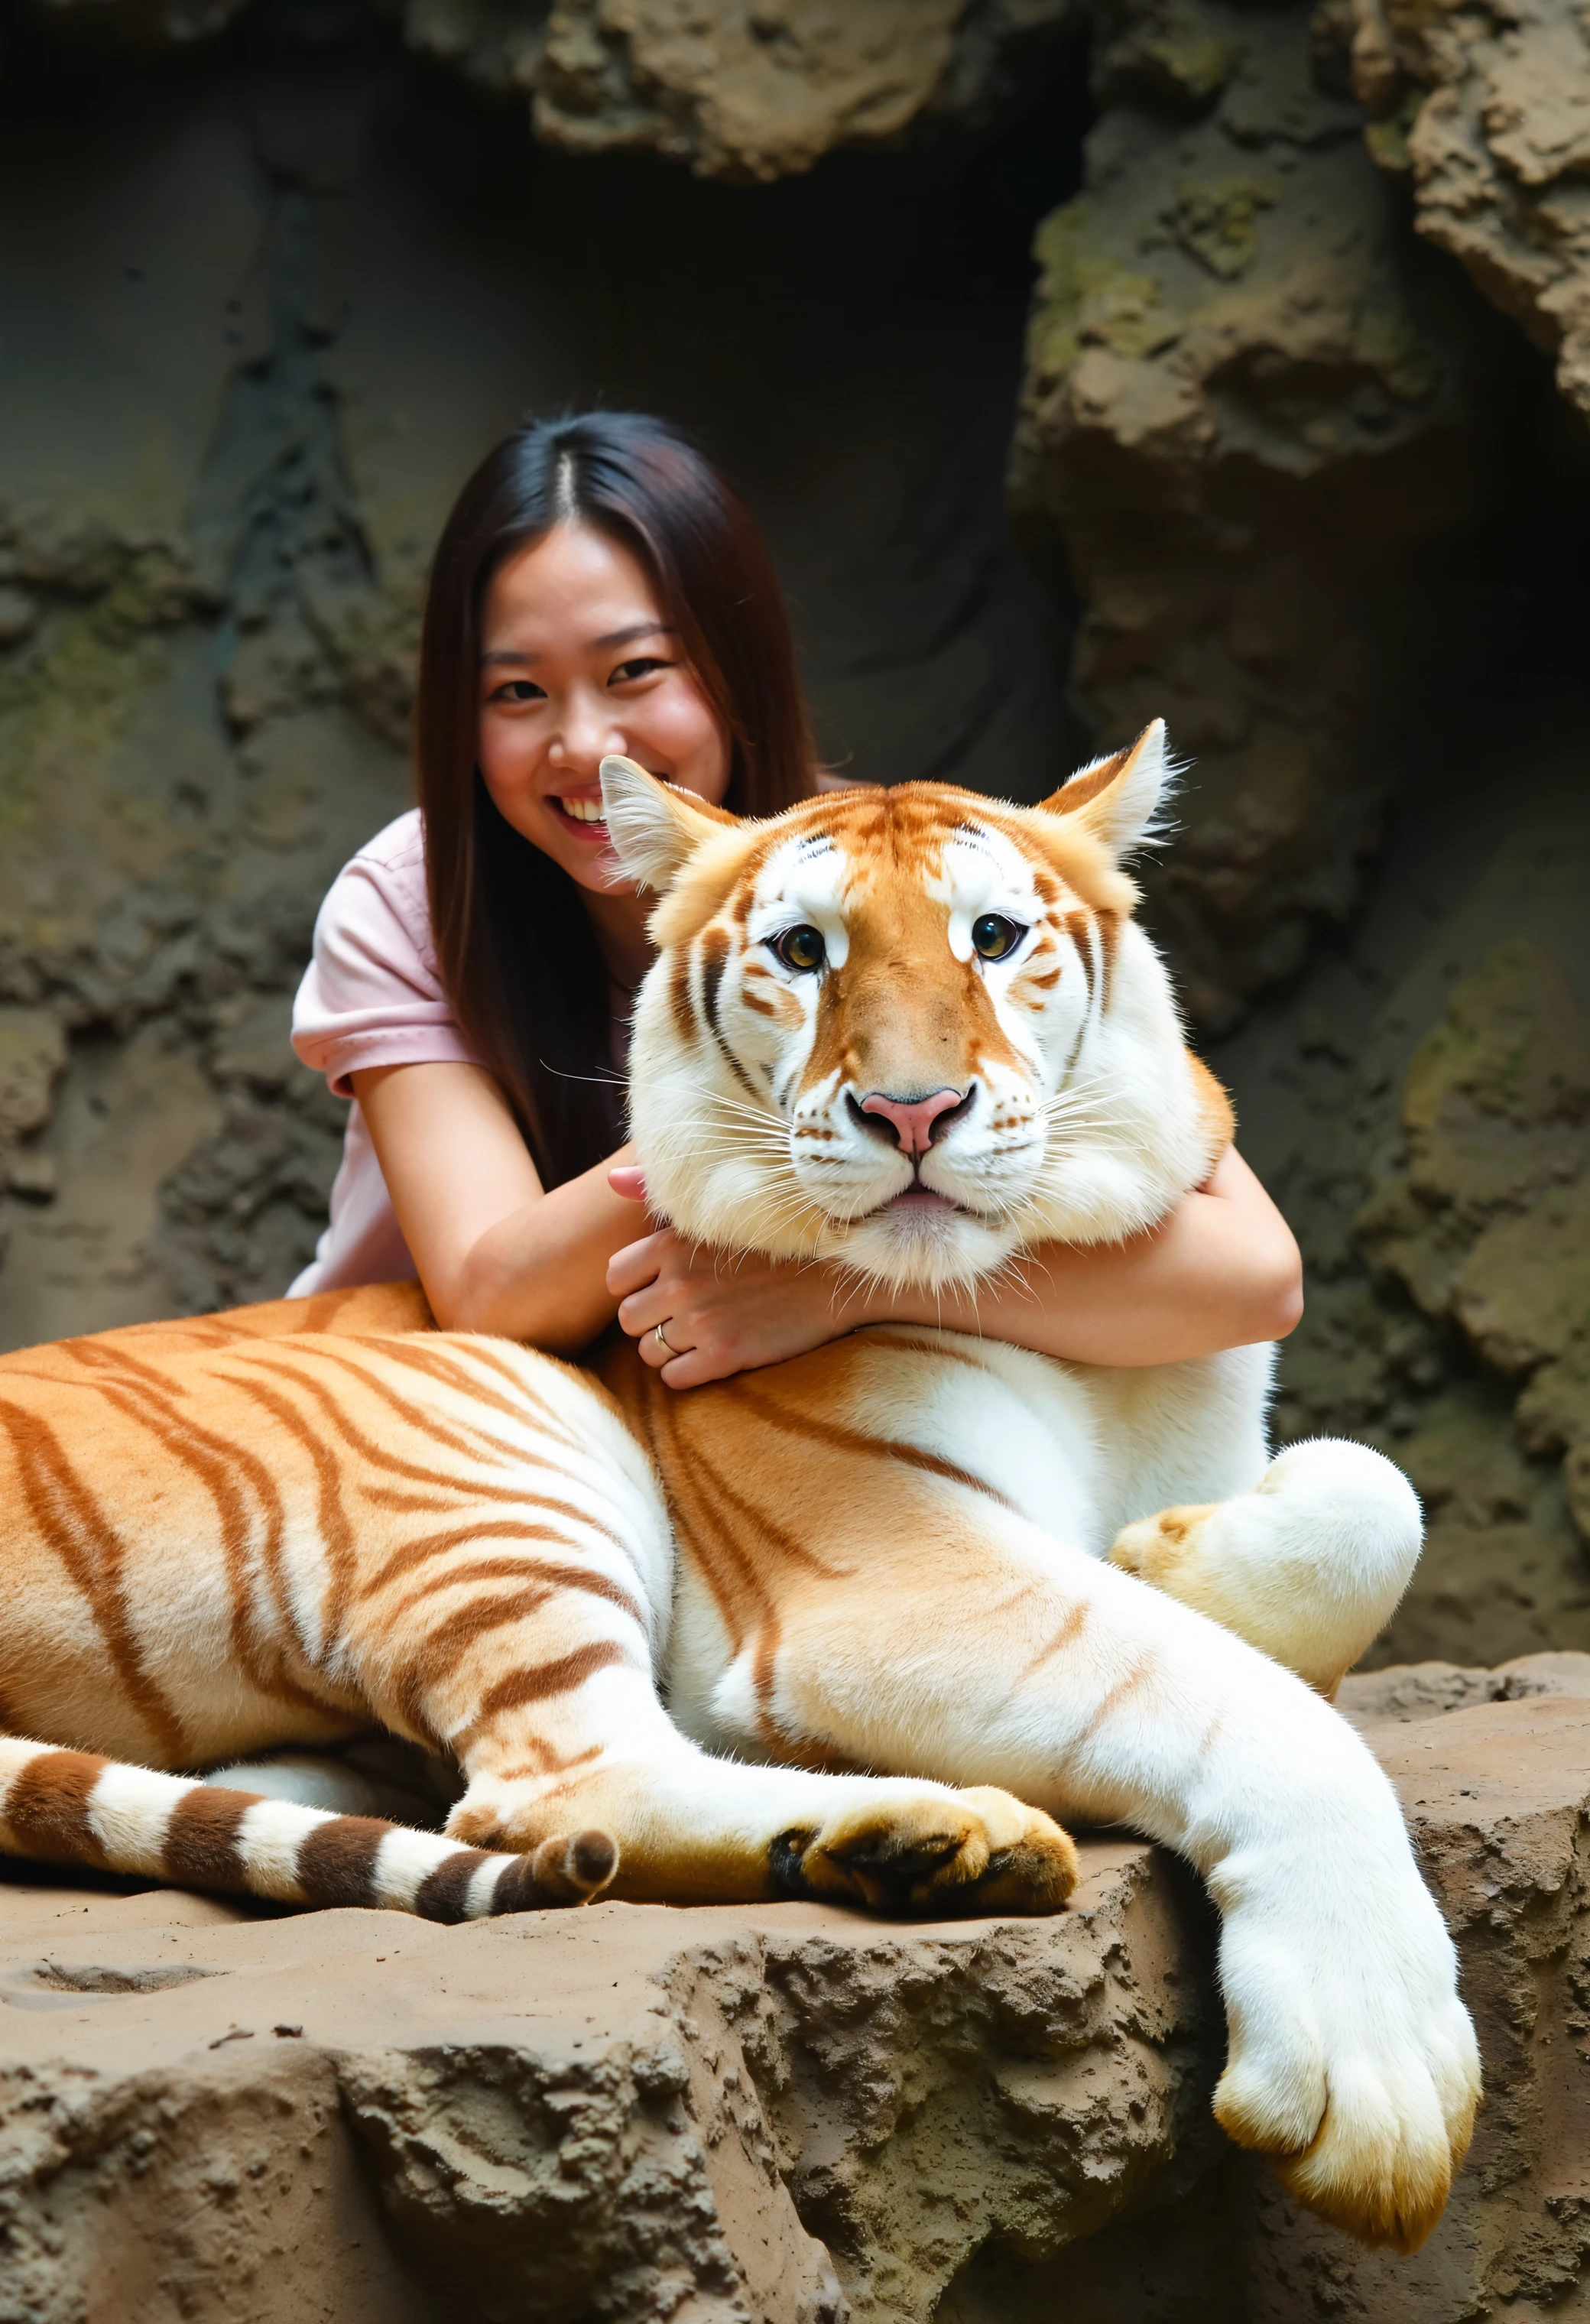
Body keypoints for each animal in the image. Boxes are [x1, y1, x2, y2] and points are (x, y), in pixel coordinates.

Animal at [0, 729, 1478, 2249]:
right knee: (555, 1794)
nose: (911, 1111)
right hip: (495, 1435)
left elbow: (1373, 1494)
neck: (1057, 1301)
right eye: (804, 950)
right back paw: (942, 1833)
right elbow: (1248, 1707)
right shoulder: (883, 1576)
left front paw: (1169, 1552)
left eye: (994, 938)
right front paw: (1379, 2074)